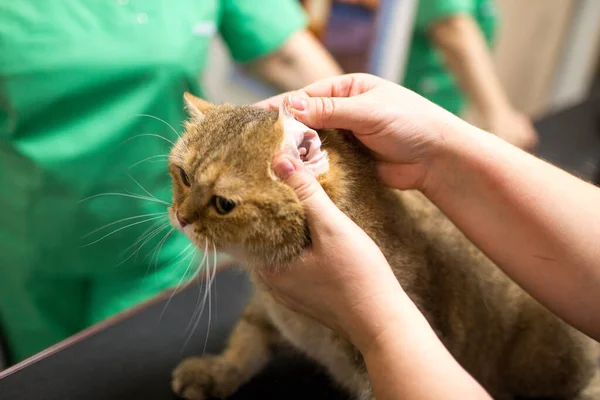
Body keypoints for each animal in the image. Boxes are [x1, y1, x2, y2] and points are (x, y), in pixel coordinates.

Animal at [166, 92, 596, 398]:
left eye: (223, 204)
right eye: (183, 176)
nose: (181, 217)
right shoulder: (266, 313)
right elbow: (245, 342)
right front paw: (215, 371)